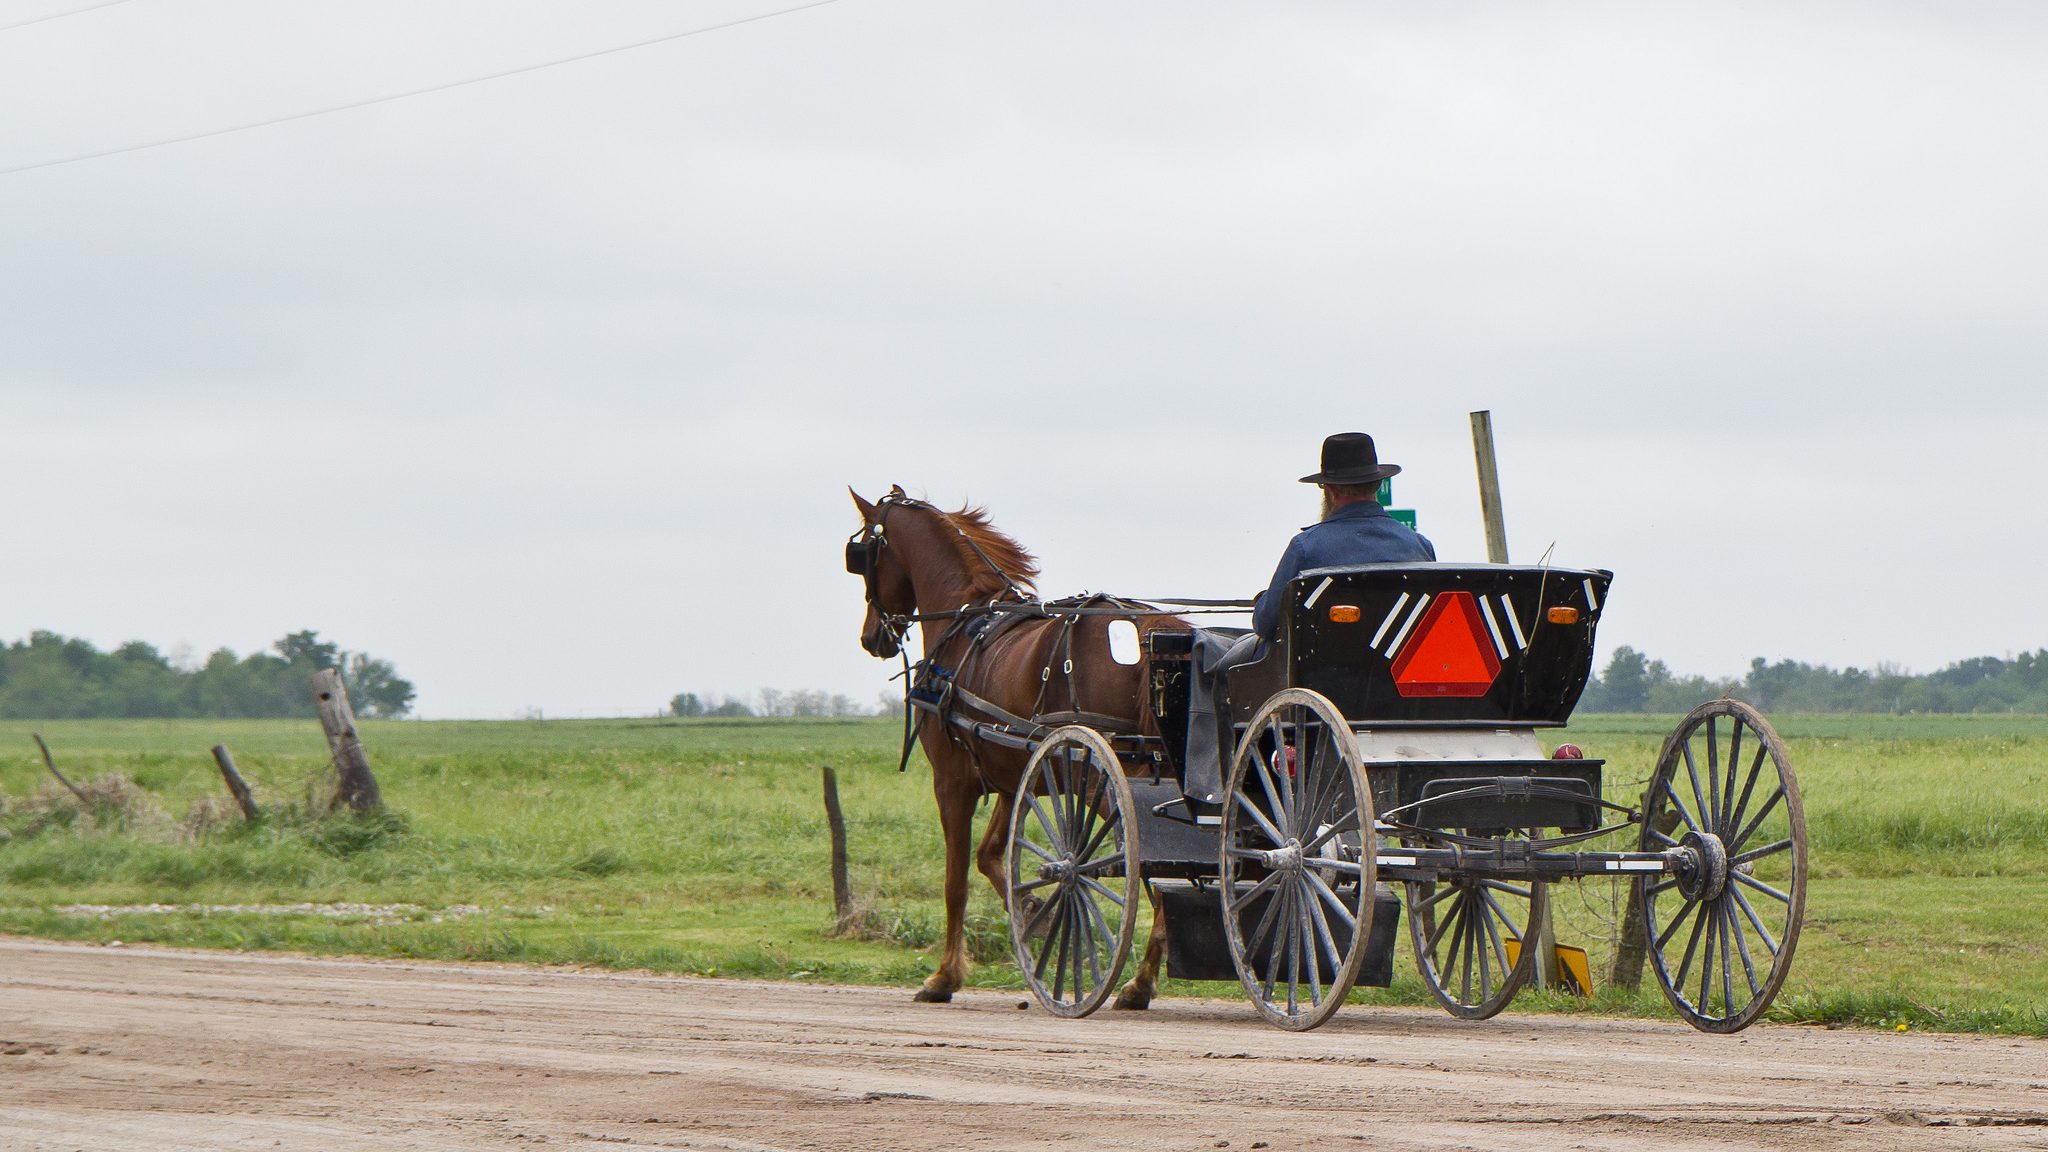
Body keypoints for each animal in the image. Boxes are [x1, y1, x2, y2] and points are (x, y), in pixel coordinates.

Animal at [847, 486, 1189, 1006]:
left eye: (864, 554)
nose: (872, 637)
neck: (965, 619)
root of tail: (1155, 630)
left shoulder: (953, 781)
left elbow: (955, 881)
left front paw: (945, 976)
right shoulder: (1012, 780)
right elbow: (992, 856)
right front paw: (1031, 910)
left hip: (1108, 778)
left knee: (1153, 865)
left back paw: (1140, 978)